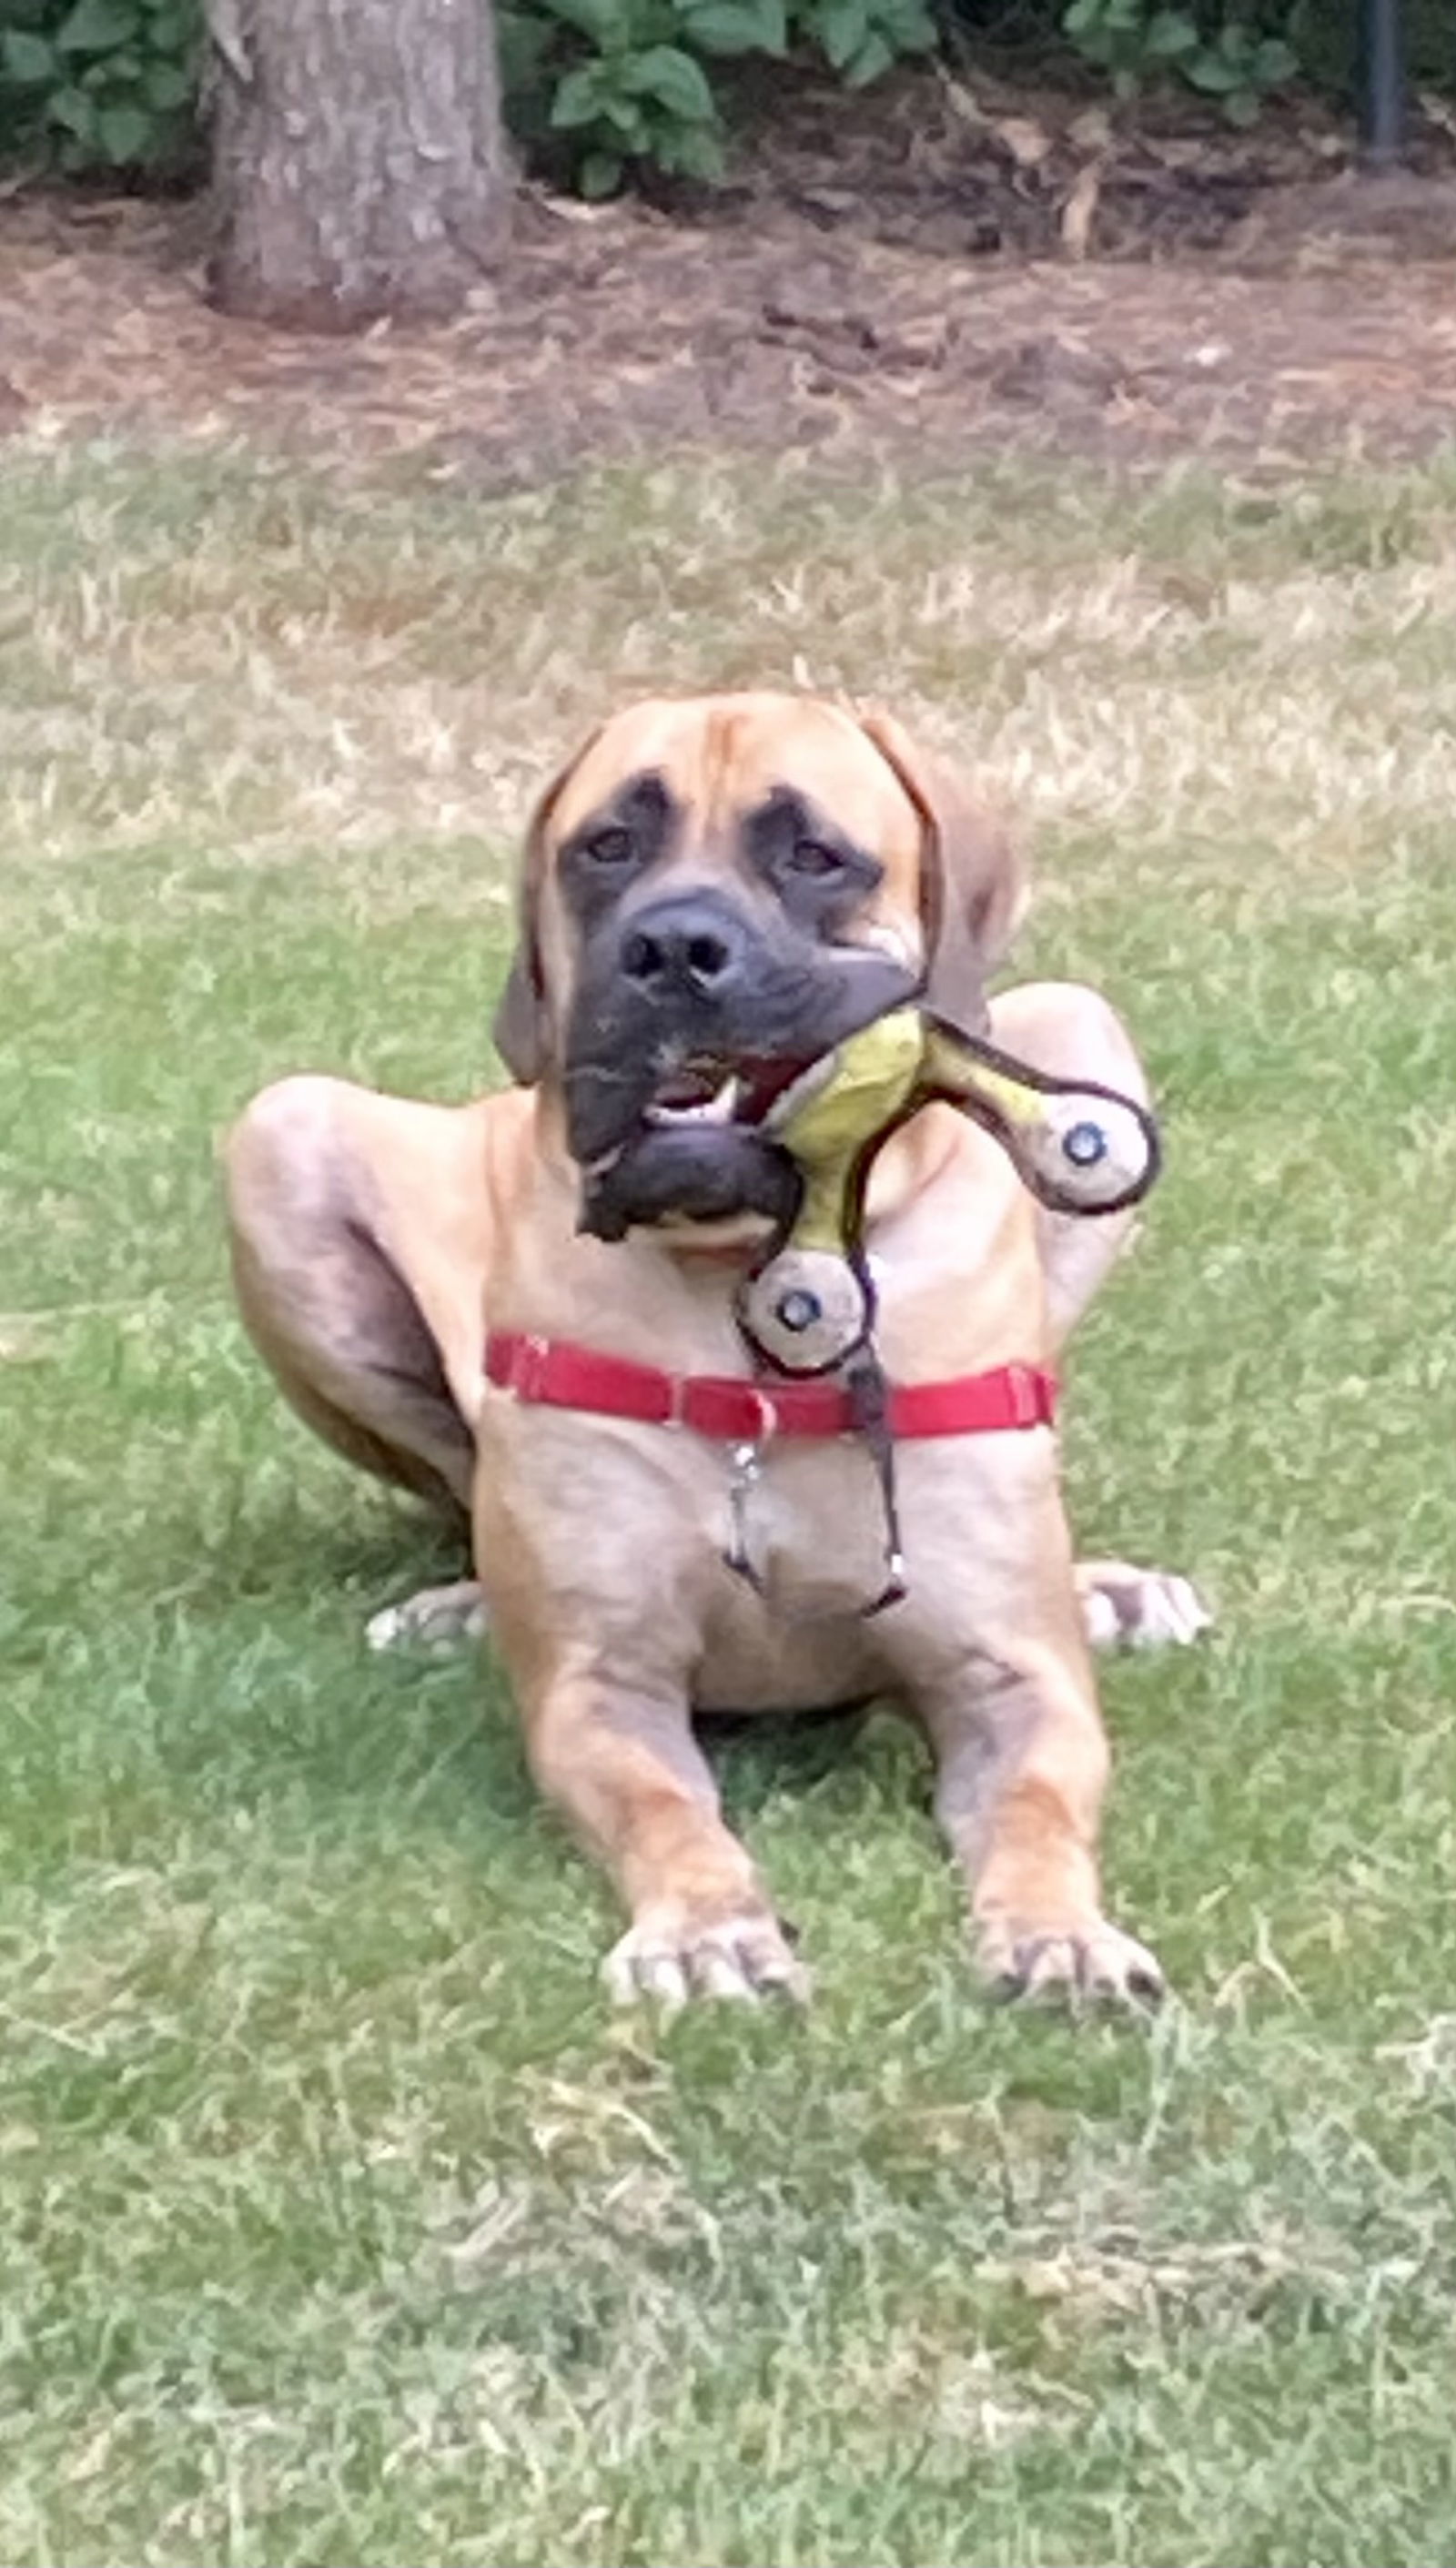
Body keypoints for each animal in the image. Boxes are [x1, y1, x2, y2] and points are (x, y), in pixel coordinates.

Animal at [228, 698, 1207, 2003]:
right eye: (608, 845)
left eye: (812, 854)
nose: (674, 947)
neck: (751, 1279)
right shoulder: (604, 1687)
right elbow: (668, 1811)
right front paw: (706, 1930)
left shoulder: (1012, 1679)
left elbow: (1041, 1810)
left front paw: (1061, 1933)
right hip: (280, 1132)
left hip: (1081, 1022)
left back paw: (1108, 1589)